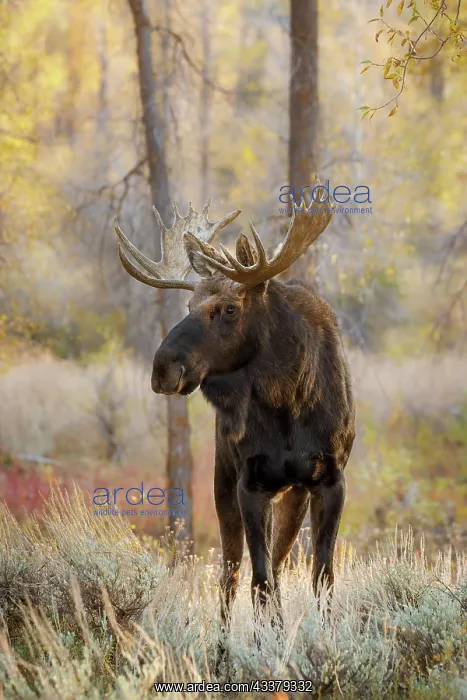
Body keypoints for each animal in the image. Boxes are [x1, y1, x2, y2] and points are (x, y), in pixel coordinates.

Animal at [114, 189, 355, 662]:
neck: (288, 402)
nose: (163, 369)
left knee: (277, 564)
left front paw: (327, 641)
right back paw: (223, 648)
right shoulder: (249, 481)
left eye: (228, 308)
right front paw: (266, 648)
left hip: (294, 493)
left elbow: (322, 576)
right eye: (188, 306)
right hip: (222, 480)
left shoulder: (330, 479)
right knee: (231, 575)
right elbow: (257, 580)